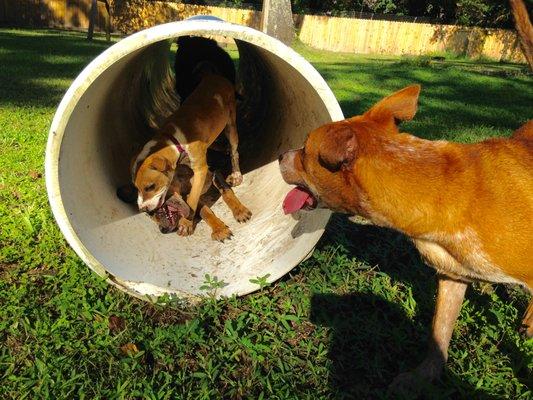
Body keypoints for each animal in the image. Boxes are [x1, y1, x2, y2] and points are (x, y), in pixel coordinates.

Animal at [133, 70, 241, 236]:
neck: (173, 138)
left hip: (231, 124)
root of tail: (217, 77)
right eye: (136, 188)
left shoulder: (200, 170)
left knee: (234, 151)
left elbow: (193, 198)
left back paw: (236, 174)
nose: (143, 209)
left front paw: (186, 223)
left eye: (150, 187)